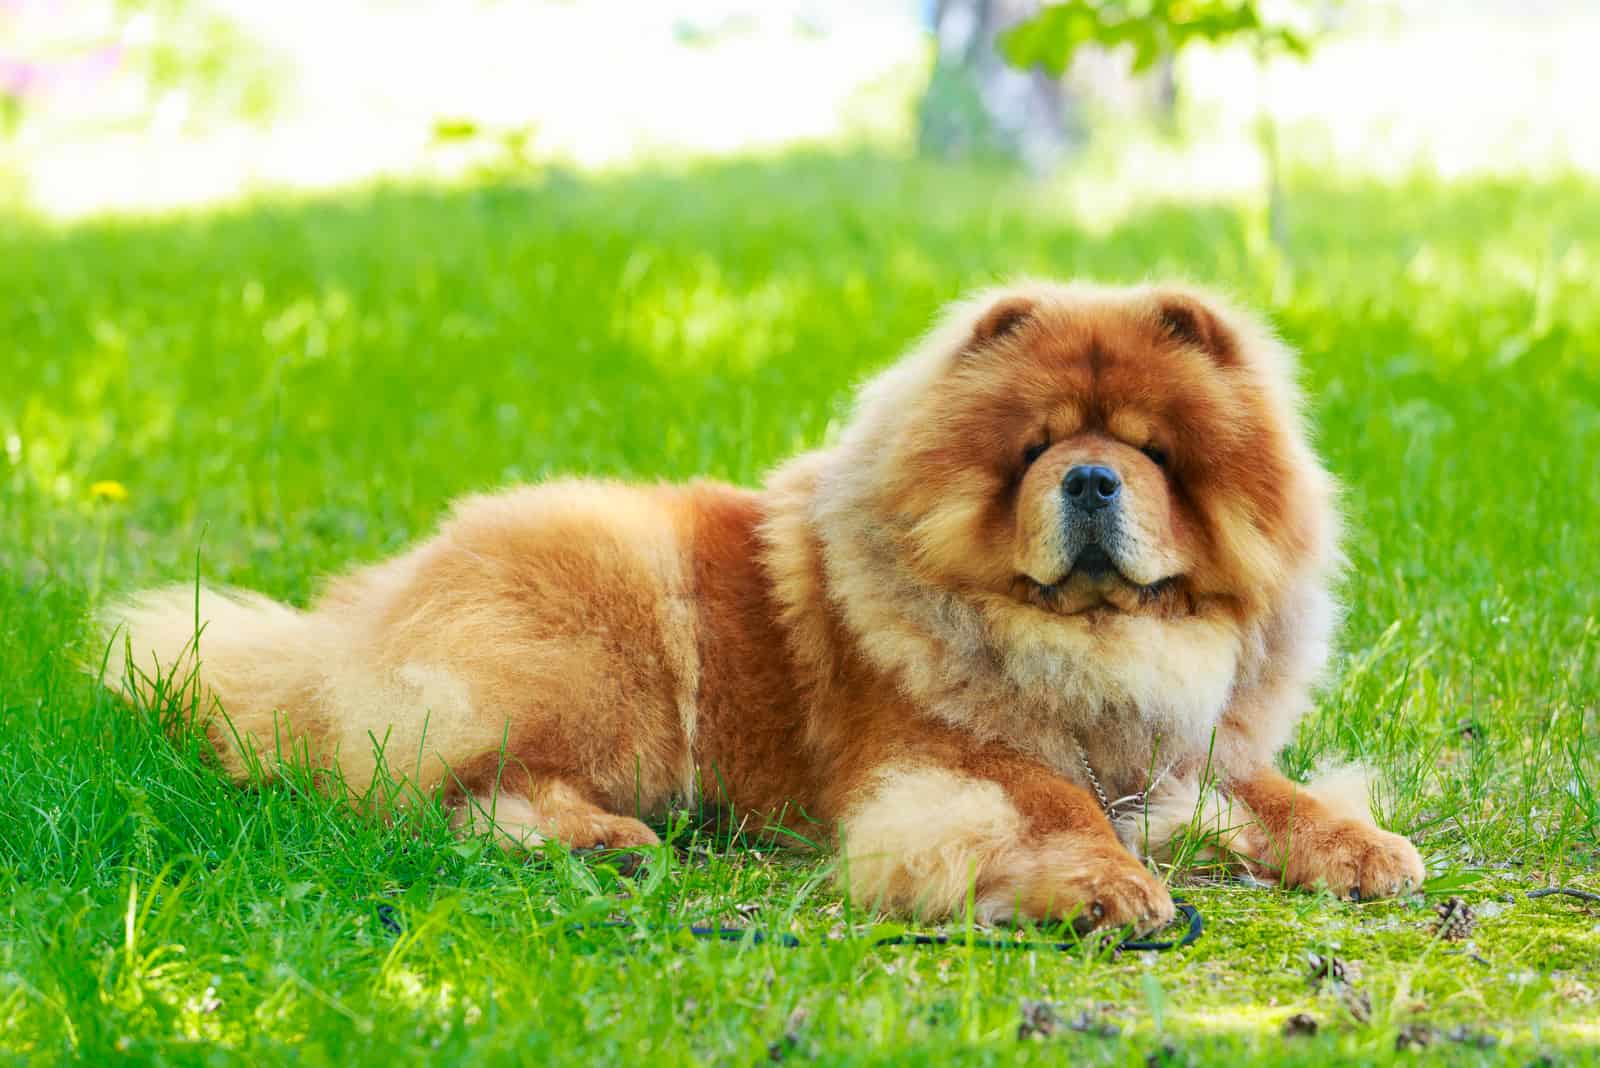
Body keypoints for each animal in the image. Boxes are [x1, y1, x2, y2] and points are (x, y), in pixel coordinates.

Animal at [103, 281, 1427, 933]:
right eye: (1036, 450)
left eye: (1151, 452)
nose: (1091, 479)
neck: (1095, 643)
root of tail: (347, 628)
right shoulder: (950, 755)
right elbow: (1048, 805)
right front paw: (1104, 889)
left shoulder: (1183, 751)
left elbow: (1266, 787)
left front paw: (1361, 849)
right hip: (607, 658)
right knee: (435, 793)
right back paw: (606, 841)